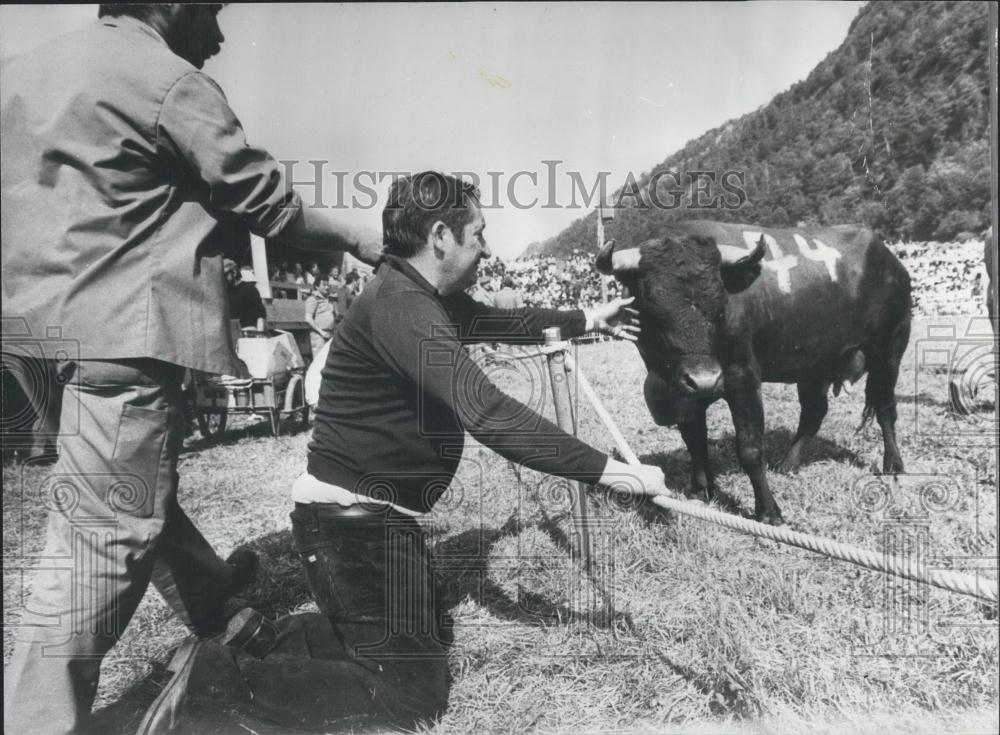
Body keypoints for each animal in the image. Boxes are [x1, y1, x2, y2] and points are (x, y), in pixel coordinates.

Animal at [596, 221, 912, 528]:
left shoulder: (743, 377)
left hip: (889, 352)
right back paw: (788, 464)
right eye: (651, 302)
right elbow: (694, 439)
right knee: (814, 412)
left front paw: (768, 511)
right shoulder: (683, 388)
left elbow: (749, 447)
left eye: (719, 304)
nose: (705, 378)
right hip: (813, 364)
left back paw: (893, 465)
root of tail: (890, 259)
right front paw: (700, 490)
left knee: (886, 408)